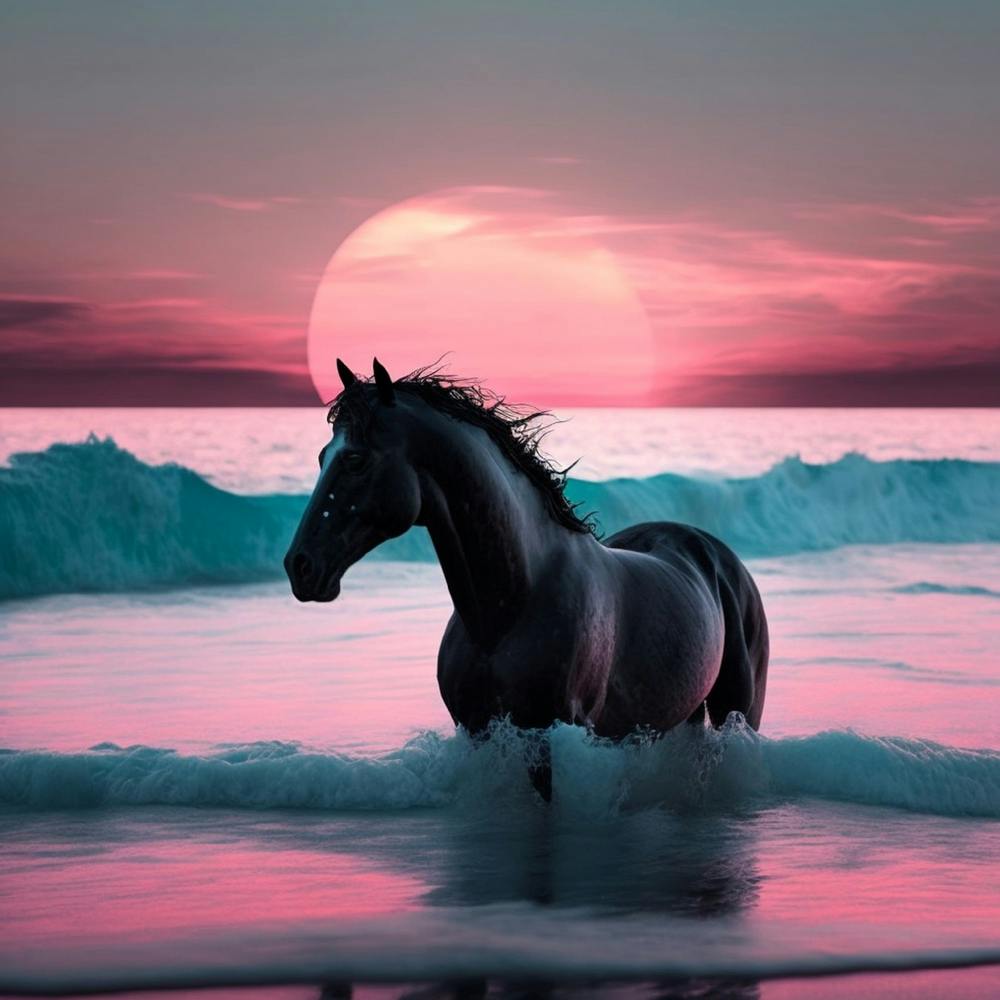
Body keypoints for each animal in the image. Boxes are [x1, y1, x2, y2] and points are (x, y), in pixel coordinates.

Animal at [285, 359, 769, 799]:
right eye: (323, 457)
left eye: (355, 459)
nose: (299, 566)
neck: (508, 608)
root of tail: (708, 549)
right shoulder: (479, 732)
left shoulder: (551, 735)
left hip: (738, 709)